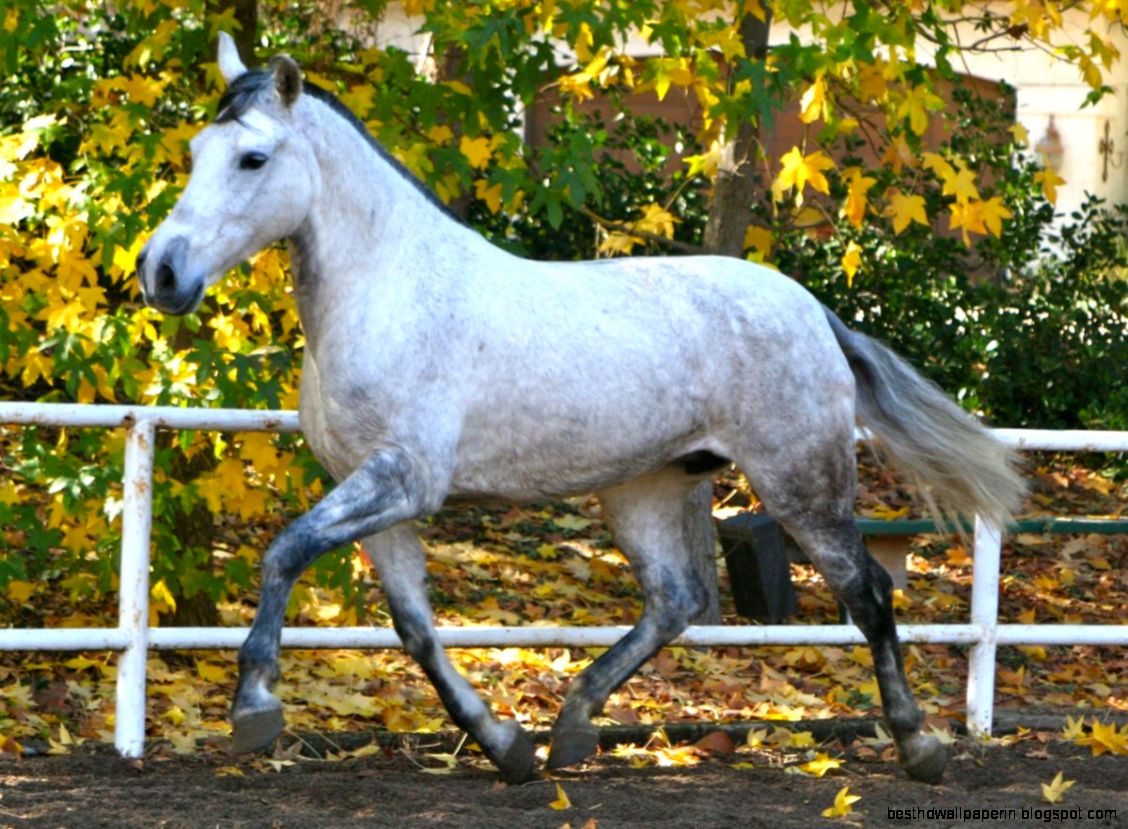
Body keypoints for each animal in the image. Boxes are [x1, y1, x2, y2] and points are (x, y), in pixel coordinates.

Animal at [135, 33, 1024, 784]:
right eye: (194, 153)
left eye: (253, 157)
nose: (161, 273)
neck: (390, 288)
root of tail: (813, 310)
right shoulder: (374, 492)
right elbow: (413, 626)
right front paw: (505, 746)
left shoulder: (404, 479)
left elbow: (282, 552)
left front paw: (255, 708)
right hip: (648, 487)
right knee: (676, 600)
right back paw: (569, 728)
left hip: (800, 479)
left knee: (865, 591)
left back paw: (920, 744)